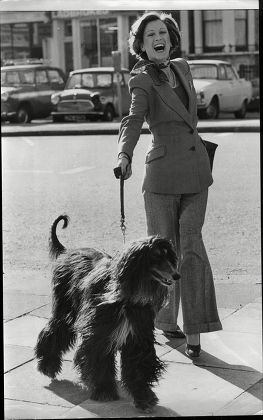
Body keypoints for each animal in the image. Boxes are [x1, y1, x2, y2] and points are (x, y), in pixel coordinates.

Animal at [34, 215, 180, 412]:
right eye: (156, 256)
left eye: (169, 256)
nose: (177, 275)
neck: (127, 299)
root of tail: (67, 251)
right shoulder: (101, 334)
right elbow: (99, 359)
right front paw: (104, 391)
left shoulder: (137, 337)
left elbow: (138, 366)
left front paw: (143, 397)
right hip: (66, 310)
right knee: (54, 331)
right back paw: (48, 365)